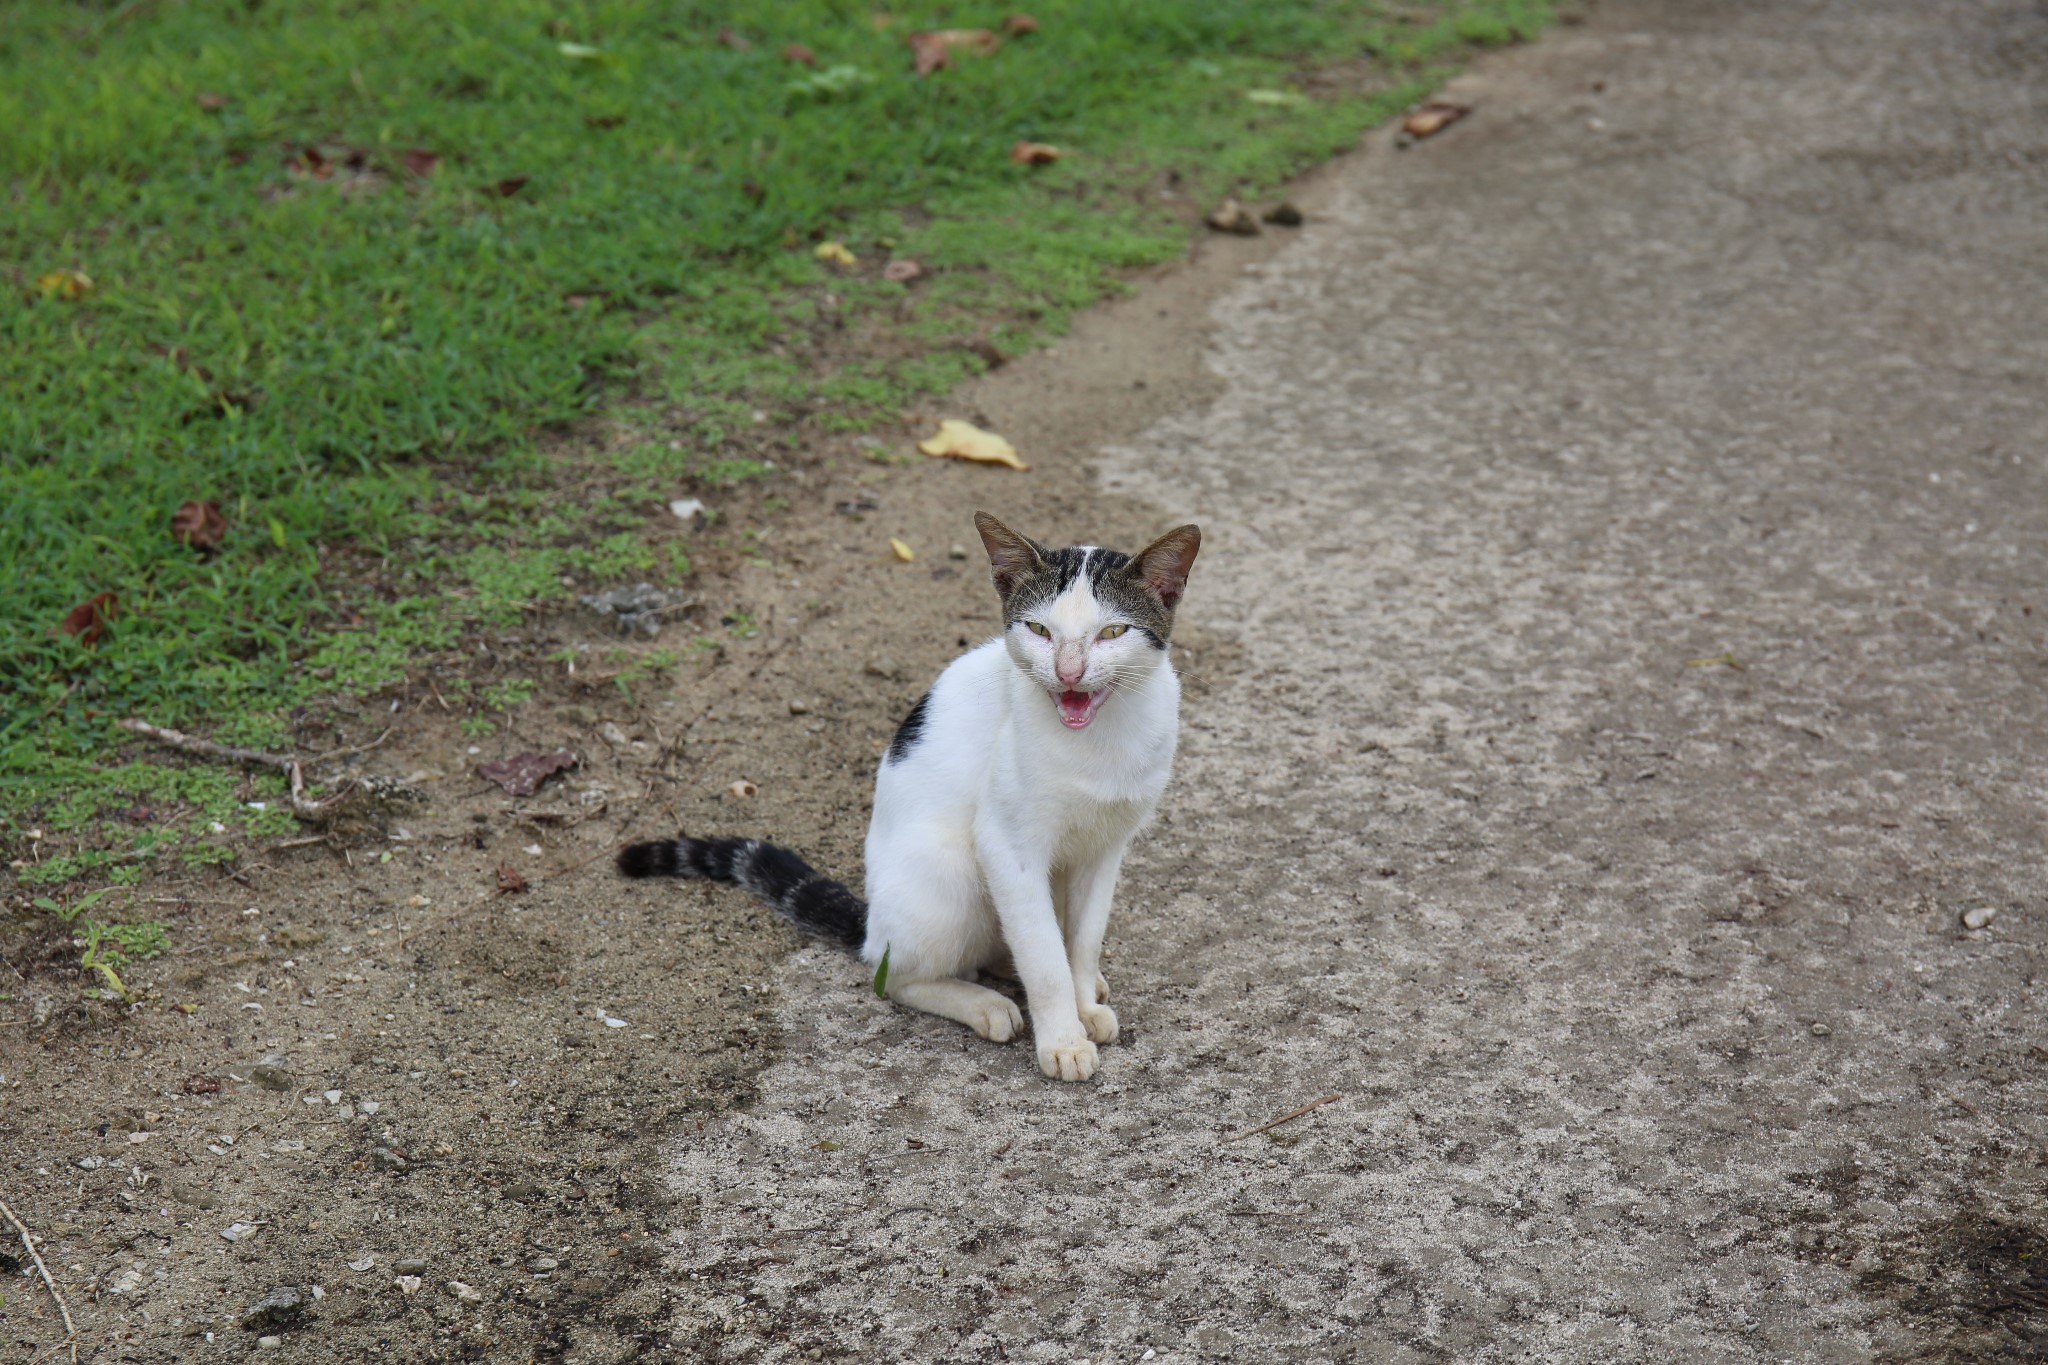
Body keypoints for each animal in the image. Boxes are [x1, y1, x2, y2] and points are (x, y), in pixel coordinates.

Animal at [622, 507, 1196, 1080]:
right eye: (1039, 629)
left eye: (1112, 631)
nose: (1069, 673)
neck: (1099, 742)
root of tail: (873, 920)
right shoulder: (1006, 845)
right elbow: (1044, 959)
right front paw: (1063, 1039)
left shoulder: (1107, 847)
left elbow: (1082, 940)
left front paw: (1082, 1004)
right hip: (951, 874)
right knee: (896, 975)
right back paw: (982, 1002)